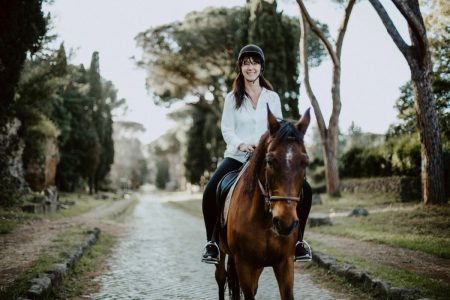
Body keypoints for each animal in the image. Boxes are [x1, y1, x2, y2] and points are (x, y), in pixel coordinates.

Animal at [216, 106, 312, 298]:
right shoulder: (244, 265)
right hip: (223, 252)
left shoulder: (285, 264)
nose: (285, 223)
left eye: (305, 162)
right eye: (270, 160)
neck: (265, 220)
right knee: (221, 277)